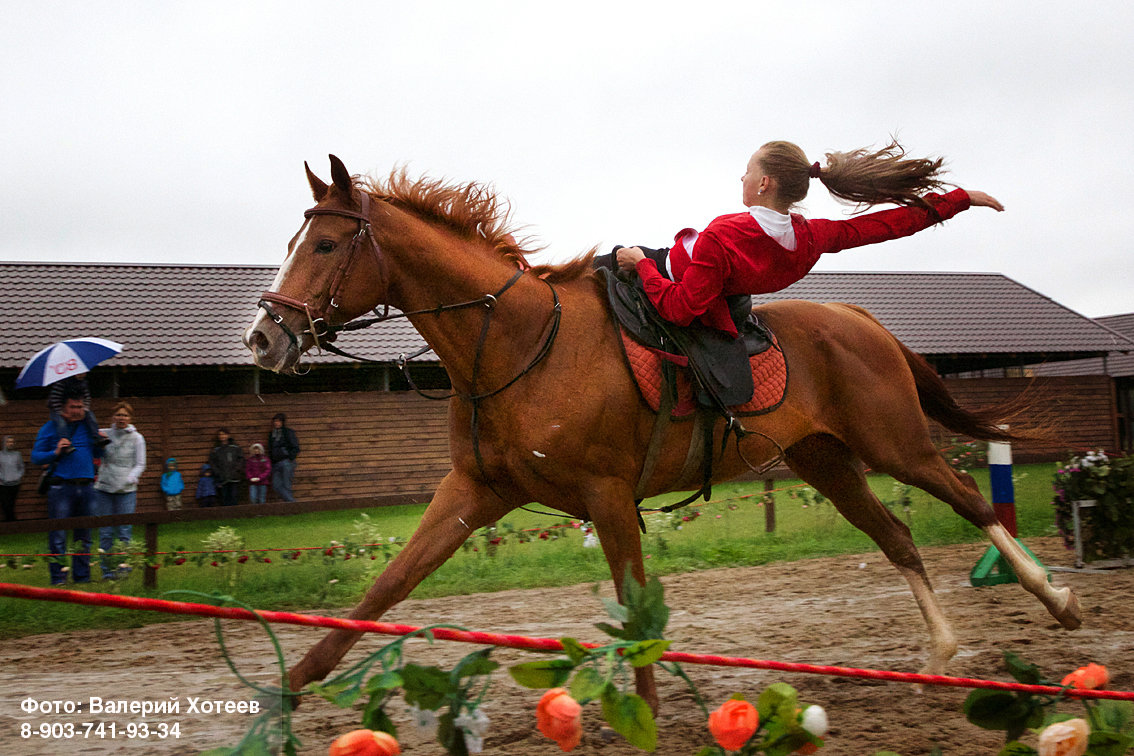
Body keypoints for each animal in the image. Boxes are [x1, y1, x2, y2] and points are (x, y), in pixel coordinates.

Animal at [241, 154, 1079, 711]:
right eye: (292, 242)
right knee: (897, 536)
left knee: (971, 498)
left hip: (894, 445)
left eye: (324, 245)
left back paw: (1056, 600)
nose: (263, 338)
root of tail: (858, 316)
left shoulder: (609, 498)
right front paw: (295, 682)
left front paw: (642, 711)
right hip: (827, 462)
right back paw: (941, 652)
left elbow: (636, 607)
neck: (517, 342)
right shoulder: (474, 493)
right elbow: (386, 585)